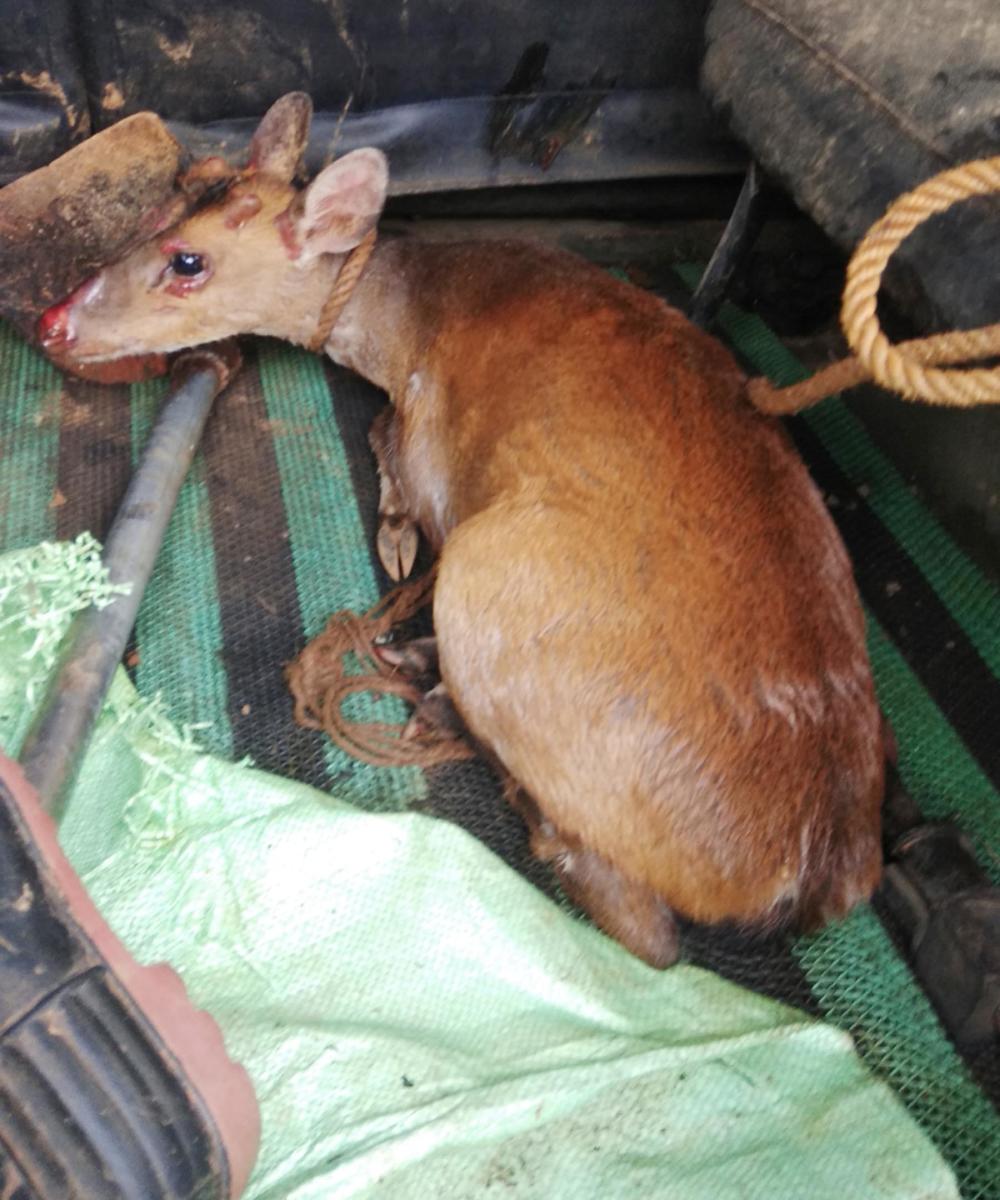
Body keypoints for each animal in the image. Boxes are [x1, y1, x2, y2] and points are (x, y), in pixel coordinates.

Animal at [37, 93, 884, 967]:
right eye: (163, 202)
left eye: (188, 263)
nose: (51, 320)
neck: (405, 323)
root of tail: (805, 876)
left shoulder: (433, 454)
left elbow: (387, 443)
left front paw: (396, 537)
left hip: (495, 572)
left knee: (644, 931)